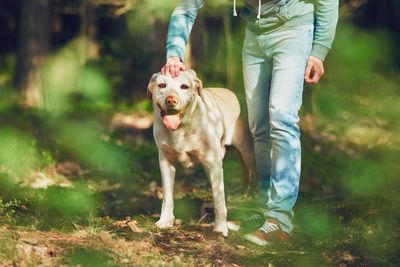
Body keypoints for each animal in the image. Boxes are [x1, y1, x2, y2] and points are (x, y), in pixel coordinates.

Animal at [148, 70, 256, 238]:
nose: (171, 100)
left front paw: (221, 227)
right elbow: (167, 195)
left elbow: (219, 200)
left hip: (249, 154)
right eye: (162, 85)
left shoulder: (214, 163)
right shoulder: (166, 161)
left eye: (184, 86)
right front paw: (165, 220)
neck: (182, 127)